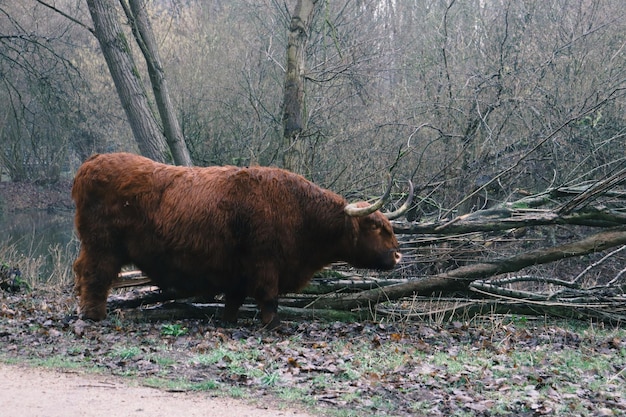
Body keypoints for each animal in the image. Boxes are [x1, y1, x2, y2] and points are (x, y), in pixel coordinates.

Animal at [72, 151, 410, 326]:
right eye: (375, 227)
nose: (397, 255)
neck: (300, 211)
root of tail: (92, 162)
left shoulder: (237, 272)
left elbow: (233, 301)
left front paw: (228, 322)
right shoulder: (266, 265)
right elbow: (269, 299)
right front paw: (274, 326)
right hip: (103, 246)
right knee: (94, 276)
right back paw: (93, 316)